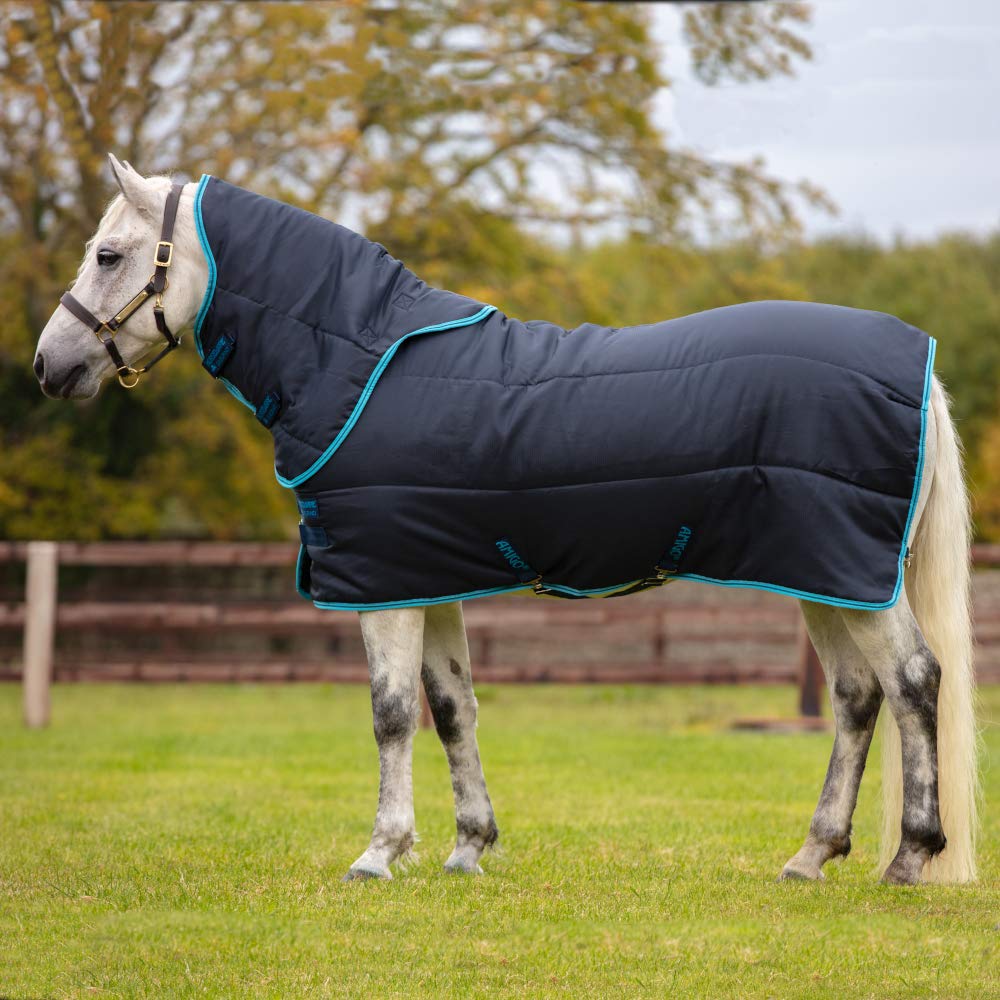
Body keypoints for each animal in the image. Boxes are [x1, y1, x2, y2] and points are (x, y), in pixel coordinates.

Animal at [33, 155, 978, 884]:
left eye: (109, 254)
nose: (49, 365)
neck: (357, 361)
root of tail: (920, 364)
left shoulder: (382, 586)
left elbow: (391, 713)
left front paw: (380, 853)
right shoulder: (424, 577)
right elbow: (453, 708)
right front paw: (467, 849)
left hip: (848, 575)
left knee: (912, 682)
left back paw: (910, 857)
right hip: (824, 575)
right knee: (857, 696)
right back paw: (811, 857)